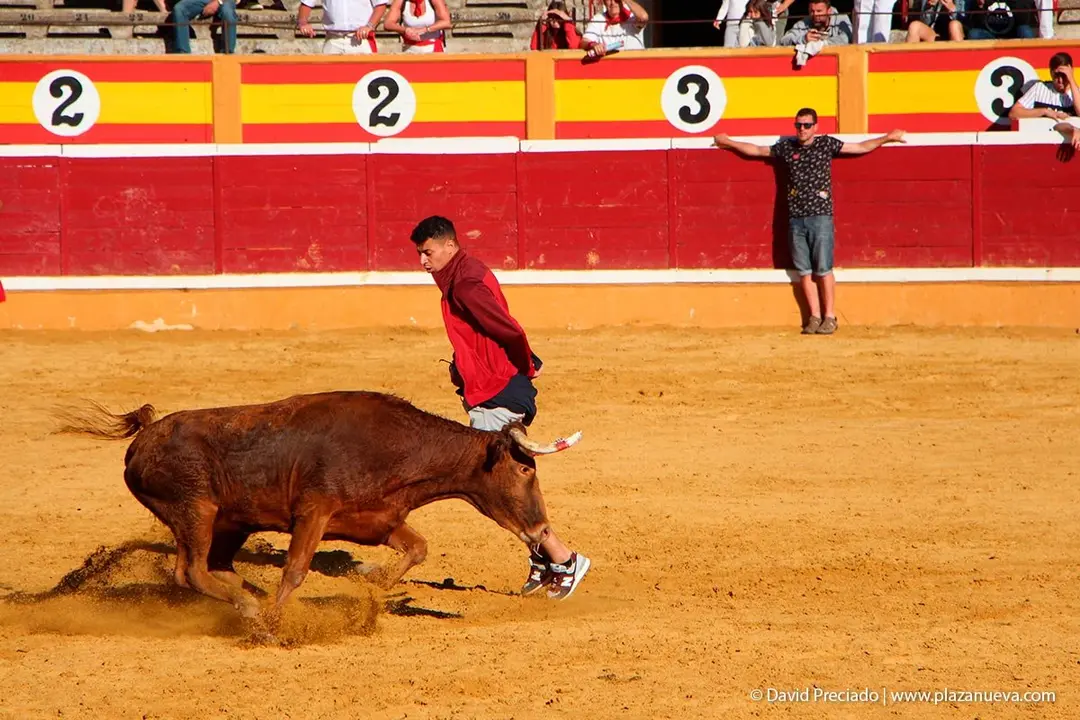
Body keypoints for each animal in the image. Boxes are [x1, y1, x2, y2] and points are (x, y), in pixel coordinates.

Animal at [58, 390, 581, 624]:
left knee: (216, 567)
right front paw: (275, 622)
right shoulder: (313, 512)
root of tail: (142, 438)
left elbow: (418, 549)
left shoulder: (380, 520)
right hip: (194, 511)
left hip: (231, 522)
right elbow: (295, 569)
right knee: (191, 572)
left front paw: (372, 585)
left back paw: (247, 596)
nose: (541, 530)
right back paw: (251, 609)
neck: (398, 448)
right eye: (525, 470)